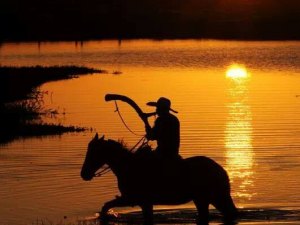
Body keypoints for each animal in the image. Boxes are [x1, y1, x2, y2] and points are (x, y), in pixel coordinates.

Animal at [81, 134, 238, 224]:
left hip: (210, 197)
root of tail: (221, 170)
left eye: (93, 152)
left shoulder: (133, 199)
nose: (84, 174)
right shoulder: (141, 201)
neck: (129, 166)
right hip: (205, 199)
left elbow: (106, 206)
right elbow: (106, 205)